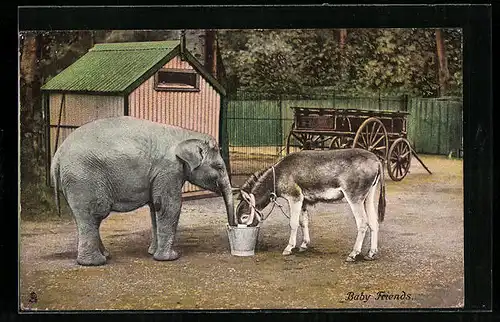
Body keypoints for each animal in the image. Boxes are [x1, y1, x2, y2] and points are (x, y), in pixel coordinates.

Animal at [50, 116, 234, 266]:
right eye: (219, 167)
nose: (232, 227)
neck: (185, 134)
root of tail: (57, 156)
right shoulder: (169, 169)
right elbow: (169, 207)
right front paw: (170, 258)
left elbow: (155, 208)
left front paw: (152, 252)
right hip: (83, 179)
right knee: (93, 214)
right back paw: (95, 262)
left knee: (87, 218)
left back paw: (105, 255)